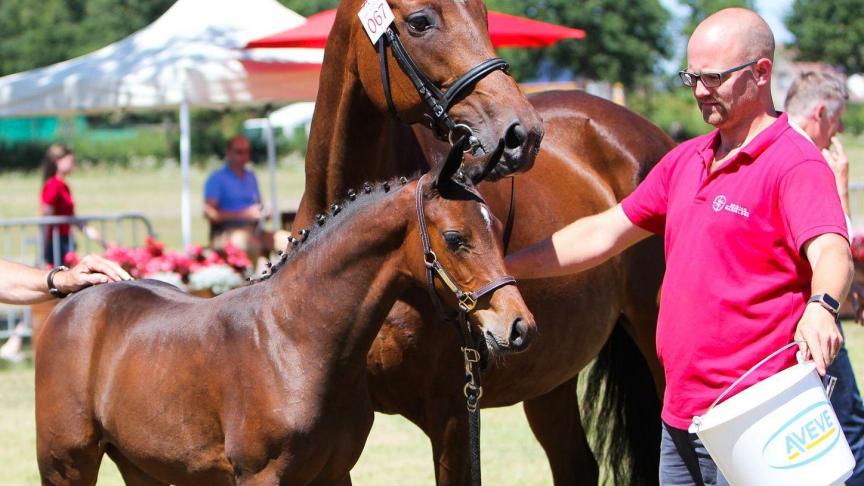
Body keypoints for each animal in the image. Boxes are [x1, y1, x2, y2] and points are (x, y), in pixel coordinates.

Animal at [37, 151, 536, 482]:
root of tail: (70, 305)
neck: (294, 340)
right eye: (455, 238)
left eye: (498, 230)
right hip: (66, 464)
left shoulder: (332, 473)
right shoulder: (262, 476)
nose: (518, 328)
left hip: (145, 468)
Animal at [296, 0, 676, 484]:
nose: (522, 134)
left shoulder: (454, 416)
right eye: (420, 21)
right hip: (550, 374)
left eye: (485, 16)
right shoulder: (332, 444)